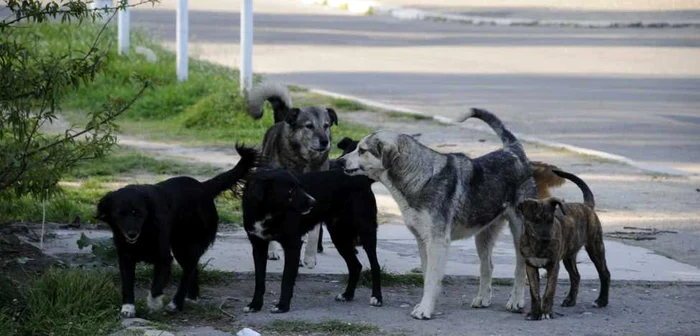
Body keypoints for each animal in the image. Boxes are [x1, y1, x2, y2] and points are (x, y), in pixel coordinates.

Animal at [97, 144, 258, 318]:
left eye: (139, 213)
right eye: (119, 214)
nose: (132, 233)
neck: (144, 231)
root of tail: (203, 186)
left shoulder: (164, 259)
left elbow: (156, 287)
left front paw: (154, 304)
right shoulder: (126, 257)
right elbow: (127, 285)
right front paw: (127, 309)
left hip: (189, 245)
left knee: (188, 271)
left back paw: (176, 303)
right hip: (180, 248)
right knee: (192, 270)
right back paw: (192, 296)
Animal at [241, 167, 382, 314]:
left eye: (299, 186)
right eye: (290, 191)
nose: (314, 203)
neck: (267, 213)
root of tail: (362, 178)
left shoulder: (293, 245)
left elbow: (286, 279)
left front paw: (282, 306)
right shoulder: (258, 246)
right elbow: (259, 280)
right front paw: (255, 305)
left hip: (366, 231)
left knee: (375, 266)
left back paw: (376, 297)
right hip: (339, 237)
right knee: (355, 266)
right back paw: (347, 295)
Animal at [338, 109, 532, 318]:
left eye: (362, 150)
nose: (339, 161)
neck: (421, 178)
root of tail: (513, 151)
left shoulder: (437, 242)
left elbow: (432, 278)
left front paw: (424, 310)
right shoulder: (422, 241)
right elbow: (426, 275)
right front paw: (424, 305)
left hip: (519, 231)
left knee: (521, 267)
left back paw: (516, 301)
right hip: (483, 235)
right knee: (487, 266)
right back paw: (483, 299)